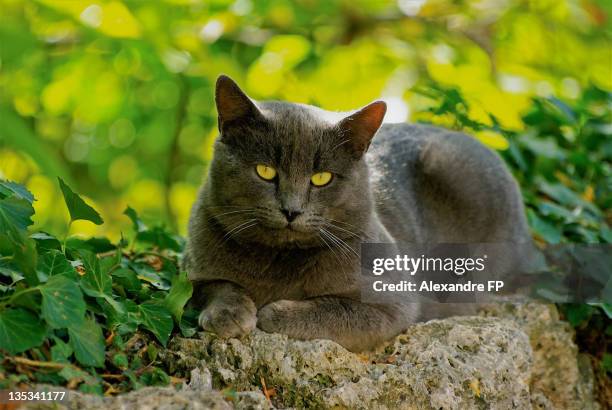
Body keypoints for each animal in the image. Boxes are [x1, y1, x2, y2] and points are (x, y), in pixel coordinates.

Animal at [184, 75, 532, 350]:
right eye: (265, 171)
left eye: (322, 178)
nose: (291, 209)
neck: (278, 261)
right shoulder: (196, 264)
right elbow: (214, 285)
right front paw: (229, 313)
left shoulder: (391, 301)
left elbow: (335, 311)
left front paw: (274, 312)